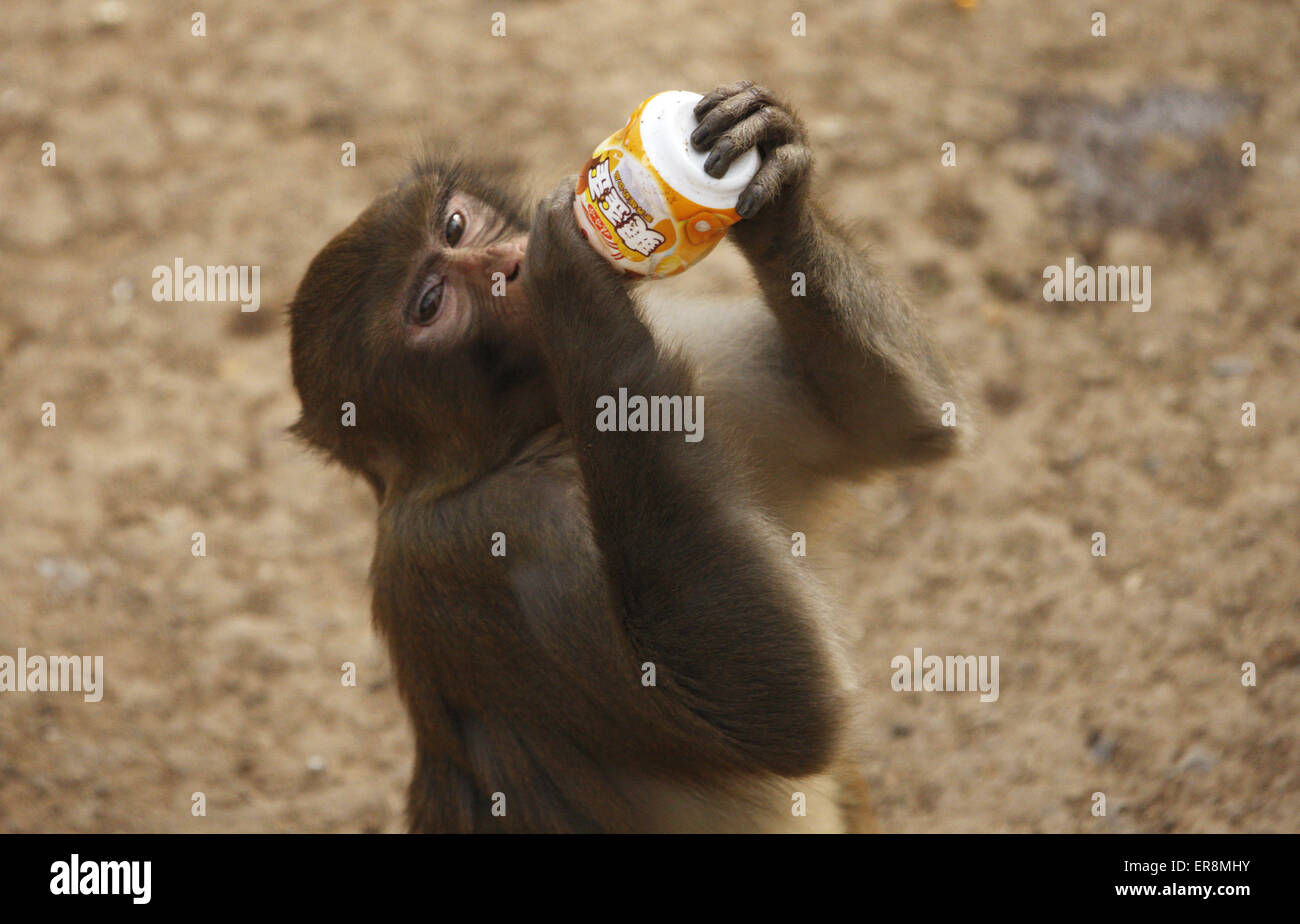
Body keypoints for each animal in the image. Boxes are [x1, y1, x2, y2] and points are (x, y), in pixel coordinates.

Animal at [288, 81, 961, 833]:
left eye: (457, 226)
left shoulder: (694, 363)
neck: (523, 439)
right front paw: (571, 276)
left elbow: (897, 426)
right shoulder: (500, 534)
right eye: (432, 303)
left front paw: (772, 178)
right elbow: (777, 714)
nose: (511, 267)